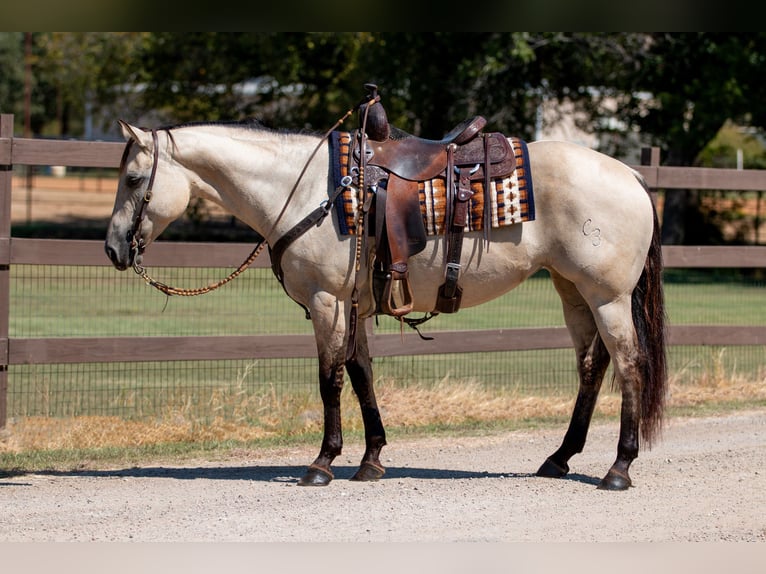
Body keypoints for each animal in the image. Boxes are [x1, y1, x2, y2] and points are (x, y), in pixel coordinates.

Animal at [105, 92, 668, 492]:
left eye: (133, 179)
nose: (112, 249)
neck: (307, 191)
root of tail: (631, 174)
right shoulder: (355, 304)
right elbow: (361, 375)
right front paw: (371, 458)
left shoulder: (327, 302)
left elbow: (330, 378)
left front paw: (323, 462)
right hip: (572, 290)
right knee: (592, 367)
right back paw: (559, 458)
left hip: (607, 297)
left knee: (630, 365)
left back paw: (618, 468)